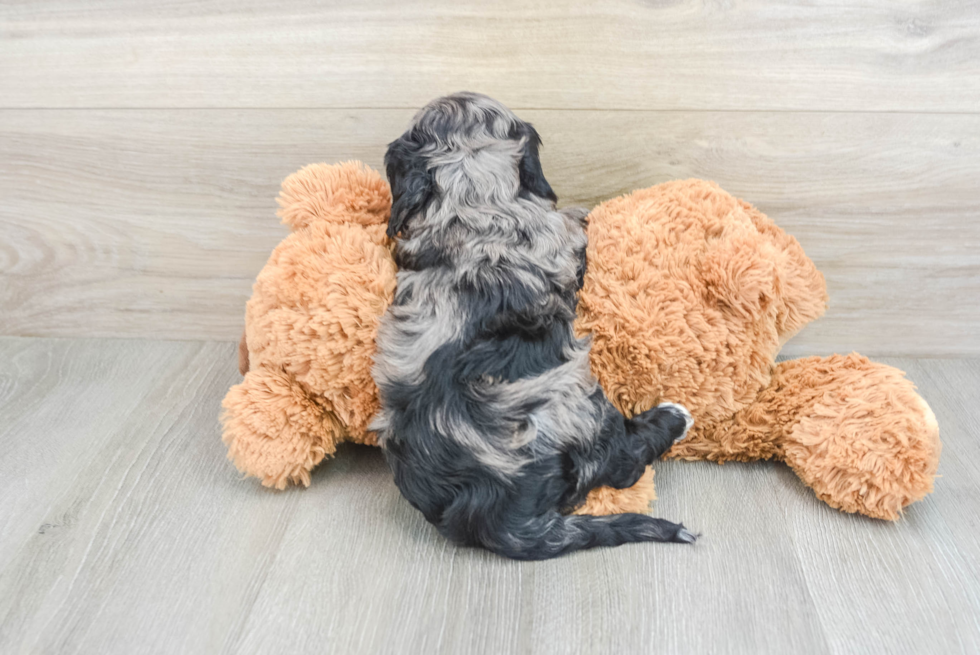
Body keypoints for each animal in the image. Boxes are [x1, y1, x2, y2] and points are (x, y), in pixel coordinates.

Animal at [370, 93, 696, 564]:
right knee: (622, 462)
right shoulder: (557, 234)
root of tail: (496, 517)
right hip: (579, 410)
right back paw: (673, 417)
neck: (469, 195)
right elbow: (574, 221)